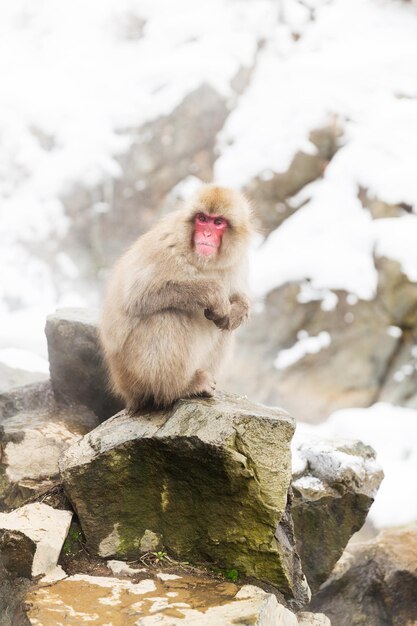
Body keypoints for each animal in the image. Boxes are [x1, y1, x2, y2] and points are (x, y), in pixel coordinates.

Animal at [100, 184, 250, 410]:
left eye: (218, 222)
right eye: (202, 219)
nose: (207, 234)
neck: (202, 261)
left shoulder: (234, 264)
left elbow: (235, 301)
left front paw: (236, 313)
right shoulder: (165, 248)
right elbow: (136, 297)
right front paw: (213, 293)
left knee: (223, 330)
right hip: (132, 374)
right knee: (169, 314)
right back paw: (180, 388)